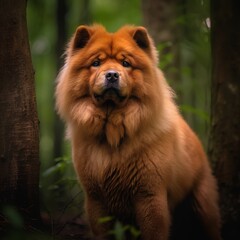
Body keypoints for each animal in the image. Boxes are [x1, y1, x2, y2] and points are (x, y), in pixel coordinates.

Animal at [54, 24, 221, 240]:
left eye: (126, 63)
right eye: (96, 63)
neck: (113, 131)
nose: (112, 75)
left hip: (203, 206)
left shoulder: (149, 196)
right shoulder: (96, 199)